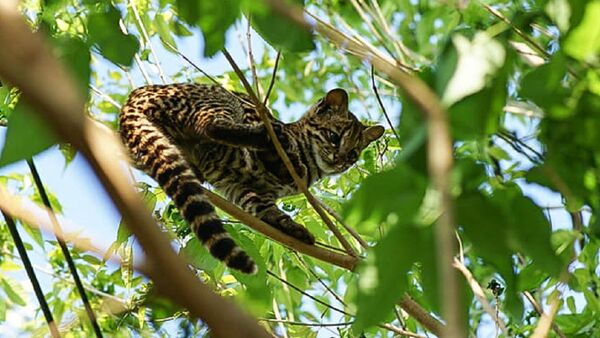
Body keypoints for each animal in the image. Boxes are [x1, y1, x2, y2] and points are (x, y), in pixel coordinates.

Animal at [118, 84, 384, 272]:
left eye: (353, 154)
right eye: (334, 137)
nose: (340, 160)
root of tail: (131, 100)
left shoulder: (248, 190)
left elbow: (268, 211)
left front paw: (294, 228)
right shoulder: (252, 116)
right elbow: (278, 150)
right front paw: (288, 157)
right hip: (224, 101)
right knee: (213, 126)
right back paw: (269, 136)